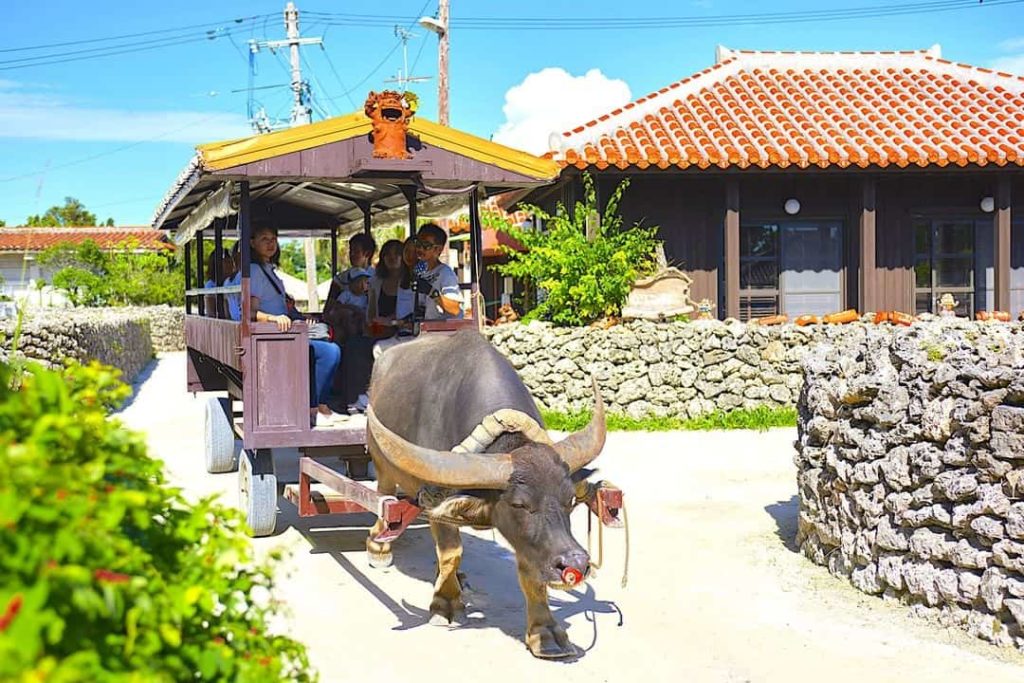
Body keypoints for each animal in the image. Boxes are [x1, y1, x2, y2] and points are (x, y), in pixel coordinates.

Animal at [368, 327, 606, 659]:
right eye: (519, 504)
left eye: (570, 500)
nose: (575, 564)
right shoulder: (436, 498)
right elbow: (451, 552)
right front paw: (445, 606)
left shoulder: (530, 541)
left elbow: (529, 569)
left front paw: (545, 633)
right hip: (381, 463)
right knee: (384, 495)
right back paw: (379, 547)